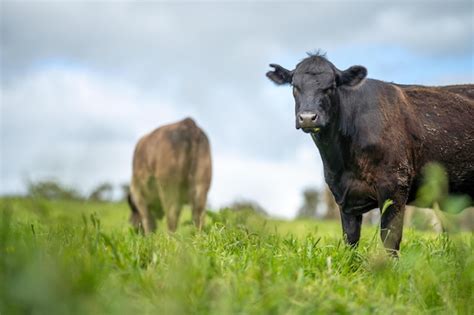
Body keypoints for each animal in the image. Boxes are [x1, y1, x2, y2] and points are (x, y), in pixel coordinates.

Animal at [266, 53, 474, 256]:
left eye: (331, 86)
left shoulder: (395, 187)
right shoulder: (344, 197)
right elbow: (350, 240)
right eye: (294, 86)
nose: (308, 117)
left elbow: (390, 239)